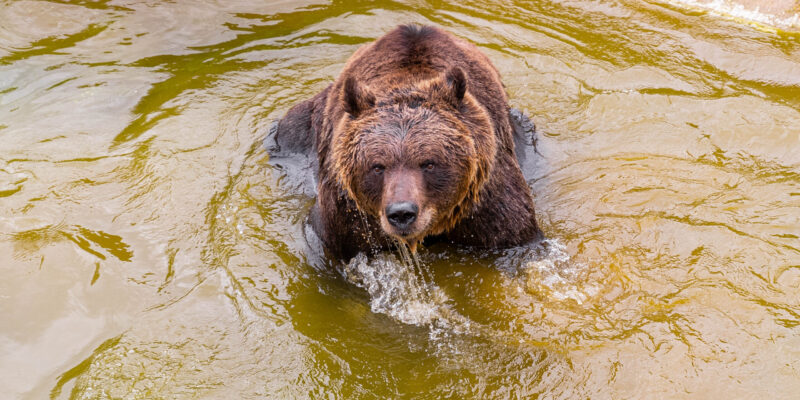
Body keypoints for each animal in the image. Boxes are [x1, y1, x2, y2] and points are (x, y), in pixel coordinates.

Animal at [269, 24, 542, 261]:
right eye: (377, 166)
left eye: (429, 163)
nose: (402, 213)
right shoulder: (348, 219)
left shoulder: (486, 205)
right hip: (300, 128)